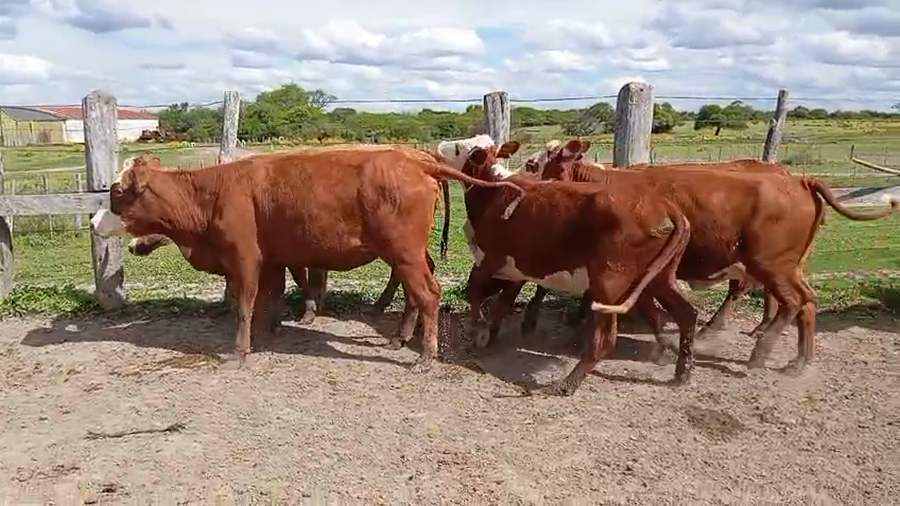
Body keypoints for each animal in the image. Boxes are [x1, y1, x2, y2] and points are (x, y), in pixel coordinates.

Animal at [90, 145, 524, 370]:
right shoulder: (272, 259)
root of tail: (412, 159)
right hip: (409, 254)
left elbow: (244, 304)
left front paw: (240, 351)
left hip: (403, 252)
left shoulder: (244, 259)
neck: (214, 193)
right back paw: (401, 337)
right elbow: (269, 298)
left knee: (429, 294)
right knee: (418, 293)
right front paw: (269, 331)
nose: (93, 222)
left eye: (117, 191)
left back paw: (426, 356)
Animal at [439, 139, 698, 396]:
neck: (492, 191)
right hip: (659, 278)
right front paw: (489, 335)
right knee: (687, 314)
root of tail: (664, 206)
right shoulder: (515, 269)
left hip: (608, 285)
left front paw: (478, 331)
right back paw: (683, 371)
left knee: (605, 339)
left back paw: (567, 383)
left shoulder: (490, 260)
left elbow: (475, 291)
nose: (440, 147)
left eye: (460, 149)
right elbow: (501, 304)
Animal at [512, 139, 899, 372]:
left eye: (531, 164)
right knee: (806, 302)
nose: (512, 181)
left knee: (792, 301)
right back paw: (798, 361)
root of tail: (799, 180)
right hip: (789, 266)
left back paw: (758, 350)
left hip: (772, 265)